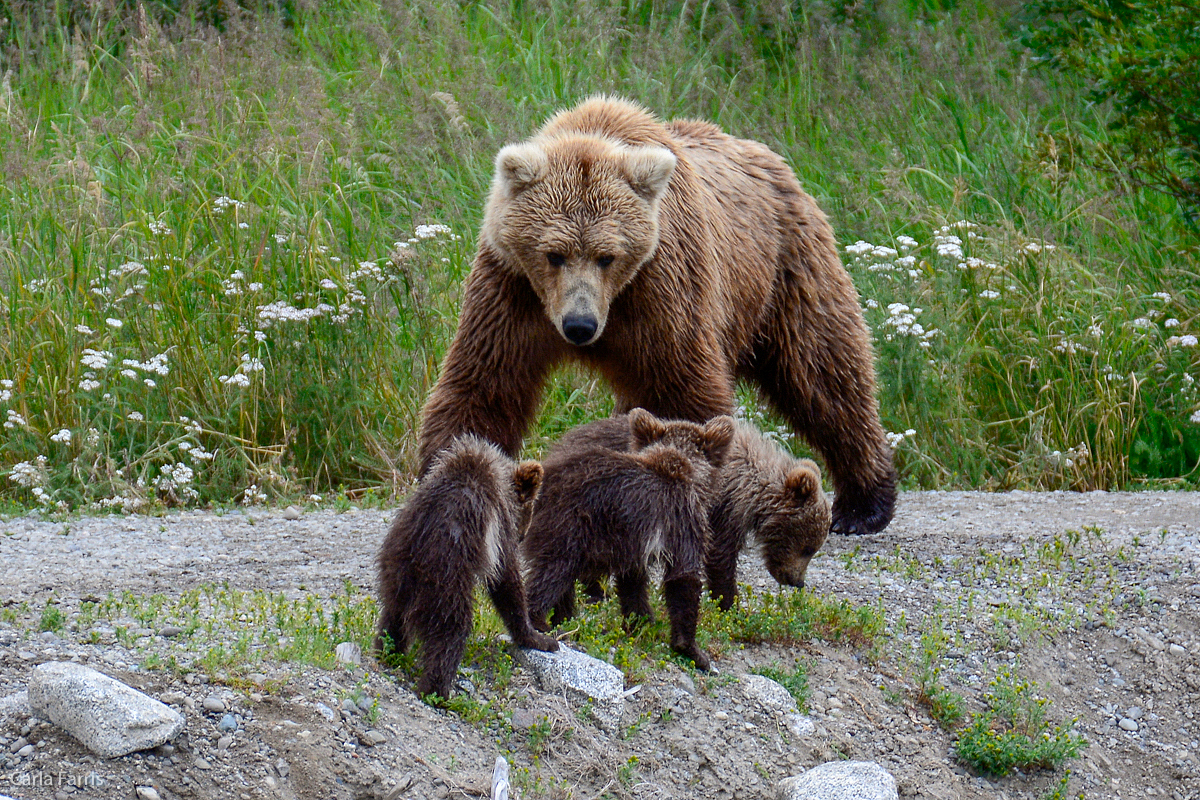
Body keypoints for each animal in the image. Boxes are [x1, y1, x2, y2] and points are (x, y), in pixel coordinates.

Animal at [417, 97, 897, 534]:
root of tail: (772, 160)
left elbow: (682, 387)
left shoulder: (662, 285)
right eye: (553, 254)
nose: (580, 326)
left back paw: (863, 505)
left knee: (824, 371)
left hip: (787, 270)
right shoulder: (511, 288)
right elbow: (485, 384)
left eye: (607, 256)